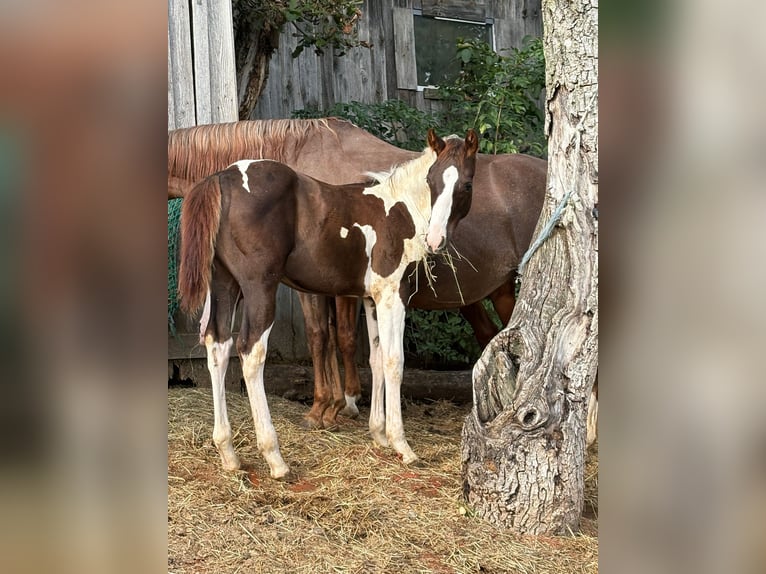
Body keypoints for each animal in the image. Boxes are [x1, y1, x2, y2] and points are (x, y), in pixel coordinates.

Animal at [168, 118, 547, 429]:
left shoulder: (331, 287)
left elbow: (332, 336)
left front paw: (334, 404)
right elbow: (335, 338)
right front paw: (339, 404)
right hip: (489, 293)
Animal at [178, 129, 479, 477]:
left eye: (466, 184)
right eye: (432, 179)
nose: (435, 239)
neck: (399, 208)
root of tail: (222, 178)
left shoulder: (371, 298)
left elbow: (375, 359)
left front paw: (379, 435)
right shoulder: (393, 294)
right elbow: (394, 361)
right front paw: (401, 444)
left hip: (224, 283)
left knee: (218, 345)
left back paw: (228, 452)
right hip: (259, 286)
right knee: (250, 352)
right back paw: (274, 458)